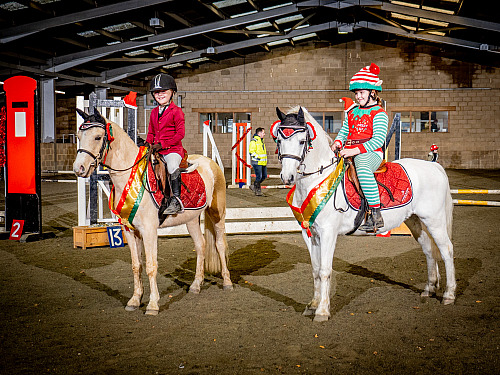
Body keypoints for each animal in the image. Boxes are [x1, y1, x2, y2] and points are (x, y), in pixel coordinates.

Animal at [73, 109, 233, 318]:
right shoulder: (130, 230)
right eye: (78, 136)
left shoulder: (149, 230)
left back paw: (227, 282)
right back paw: (196, 285)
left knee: (220, 244)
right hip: (191, 219)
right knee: (201, 245)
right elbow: (136, 265)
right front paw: (134, 300)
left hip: (217, 213)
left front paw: (153, 304)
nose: (79, 169)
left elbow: (151, 266)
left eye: (97, 137)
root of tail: (210, 163)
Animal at [274, 106, 458, 324]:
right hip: (415, 222)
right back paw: (429, 289)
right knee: (429, 250)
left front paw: (322, 311)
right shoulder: (310, 234)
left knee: (446, 250)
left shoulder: (328, 234)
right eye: (279, 140)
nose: (287, 177)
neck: (318, 179)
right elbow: (315, 270)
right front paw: (312, 305)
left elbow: (325, 270)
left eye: (302, 141)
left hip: (434, 221)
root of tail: (434, 166)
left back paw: (449, 295)